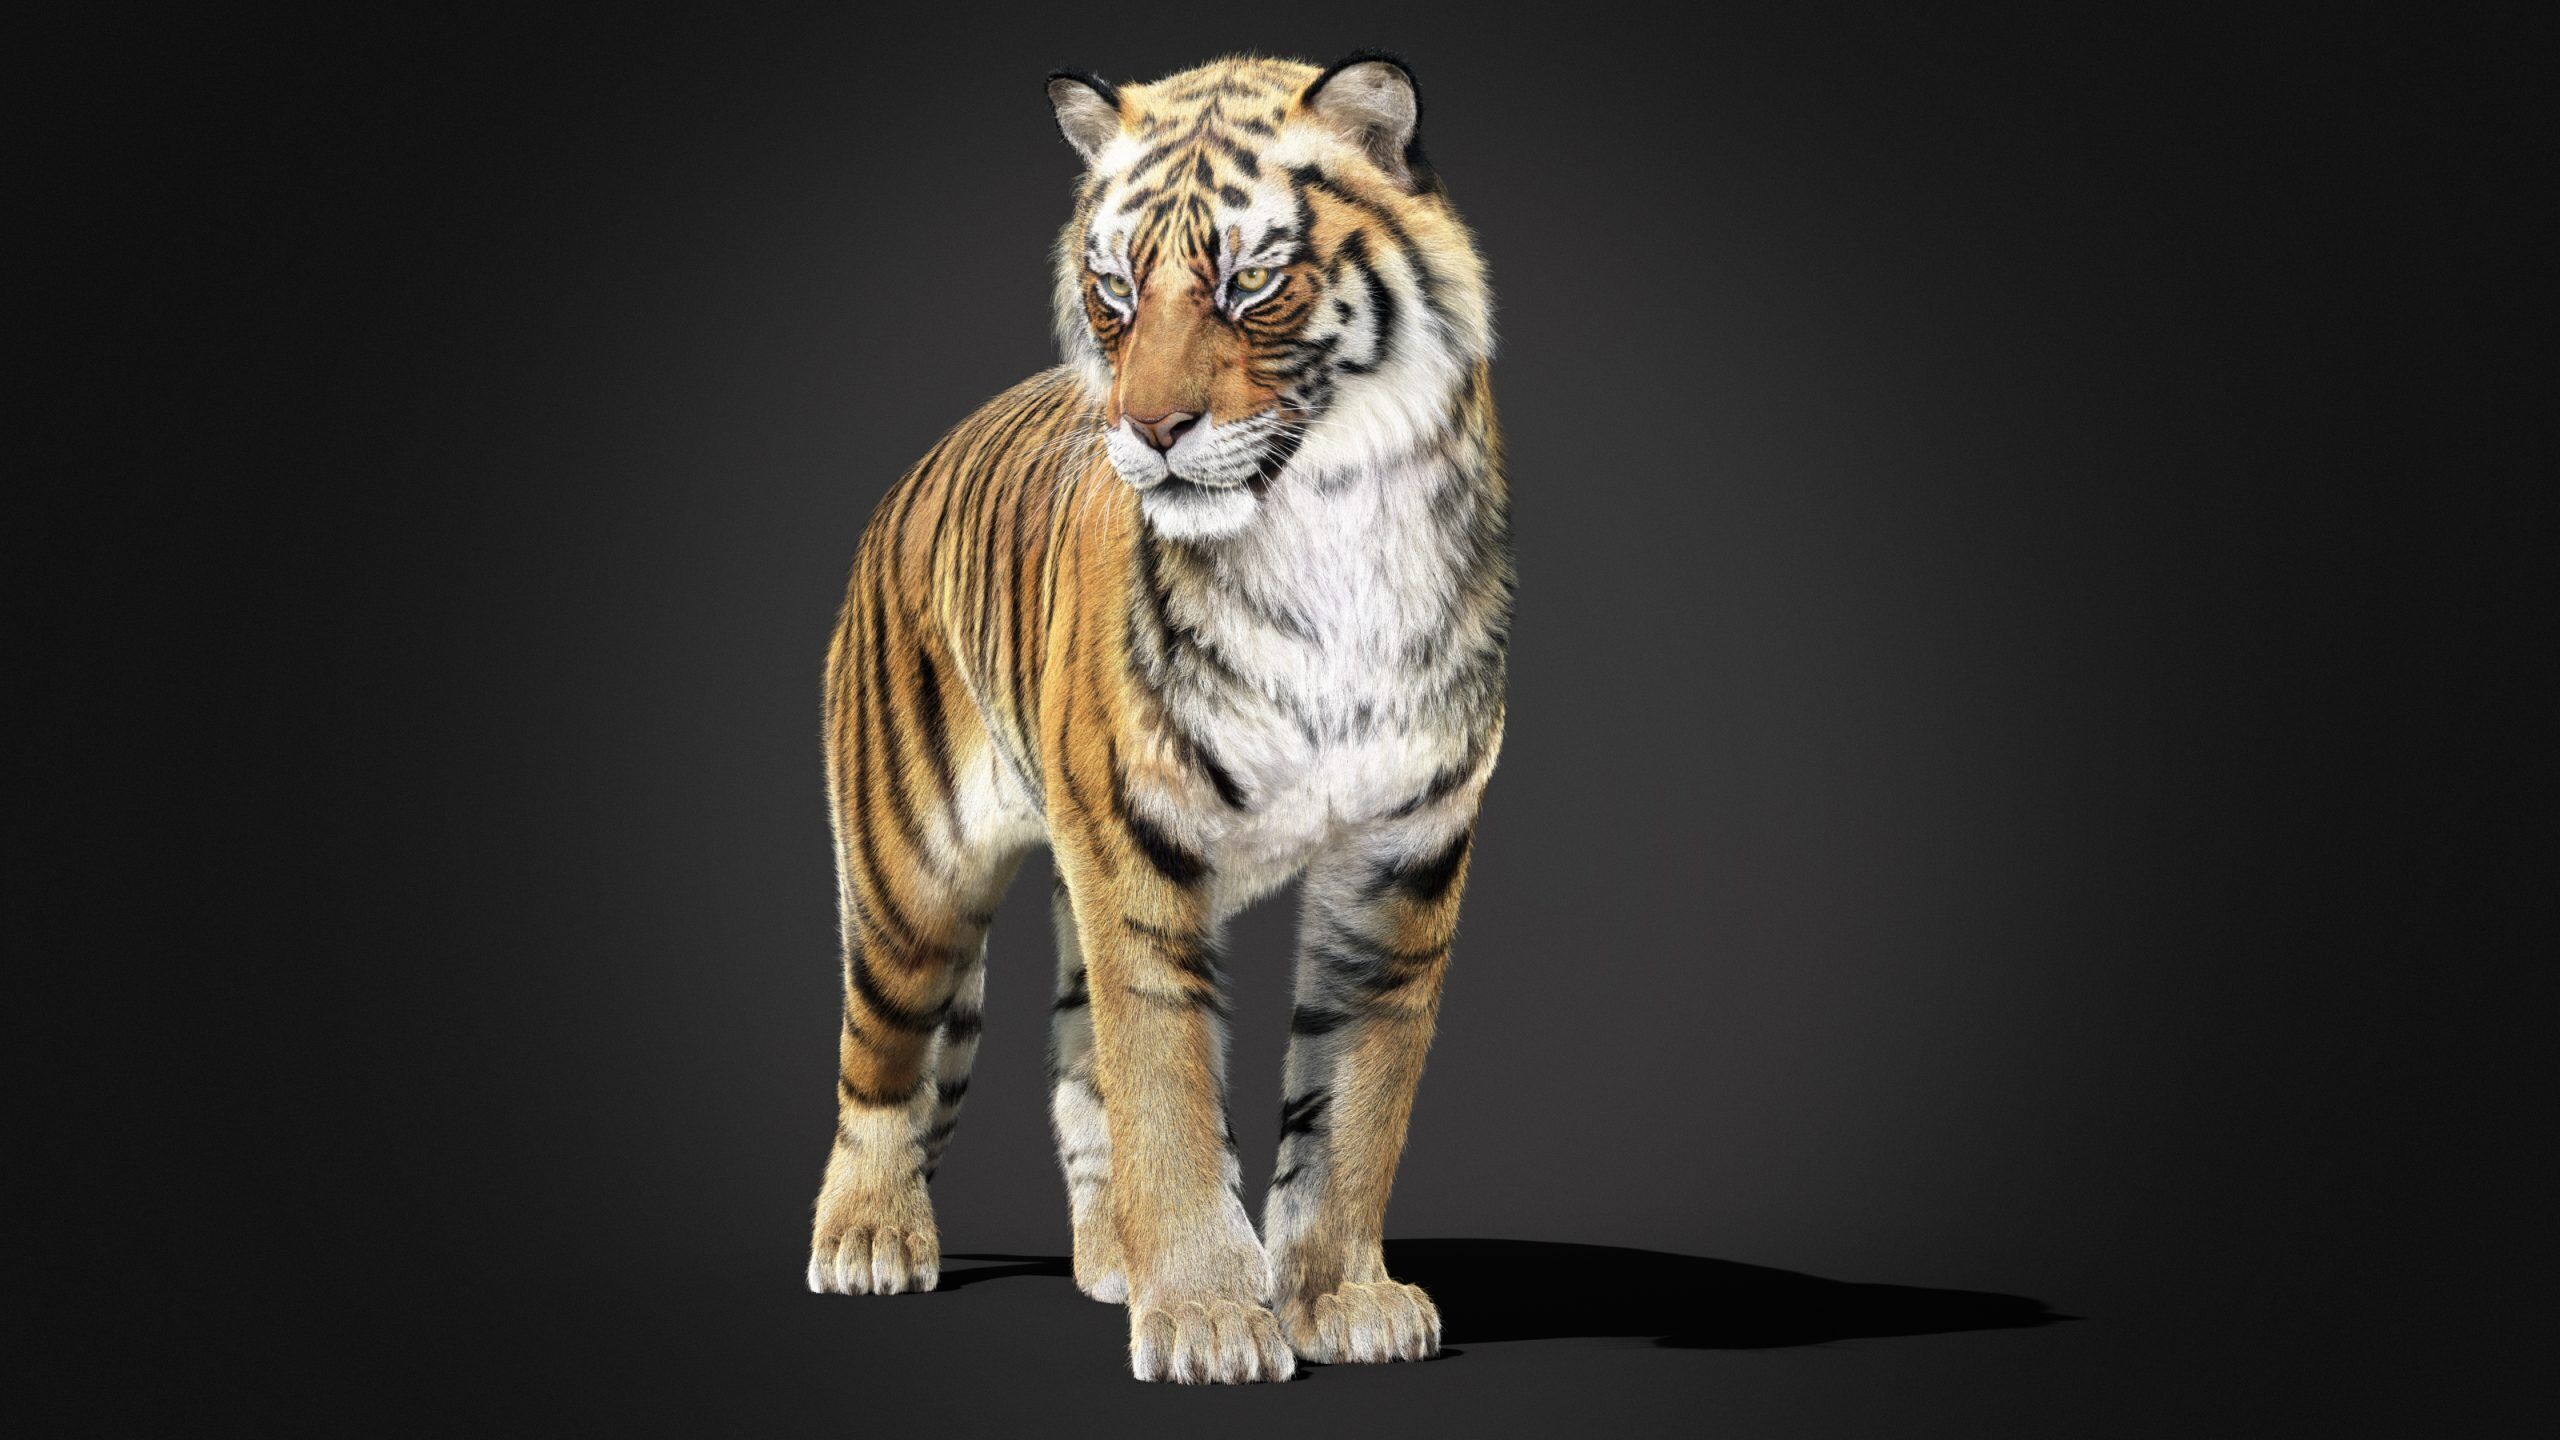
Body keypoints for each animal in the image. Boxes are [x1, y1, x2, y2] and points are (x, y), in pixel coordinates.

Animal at [804, 52, 1510, 1385]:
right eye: (1116, 288)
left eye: (1249, 282)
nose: (1149, 430)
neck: (1327, 534)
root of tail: (908, 477)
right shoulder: (1137, 850)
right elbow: (1168, 1089)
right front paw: (1208, 1322)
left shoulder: (1402, 860)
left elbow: (1355, 1106)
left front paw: (1340, 1299)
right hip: (909, 874)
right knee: (882, 1064)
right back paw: (868, 1239)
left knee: (1077, 1071)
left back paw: (1111, 1261)